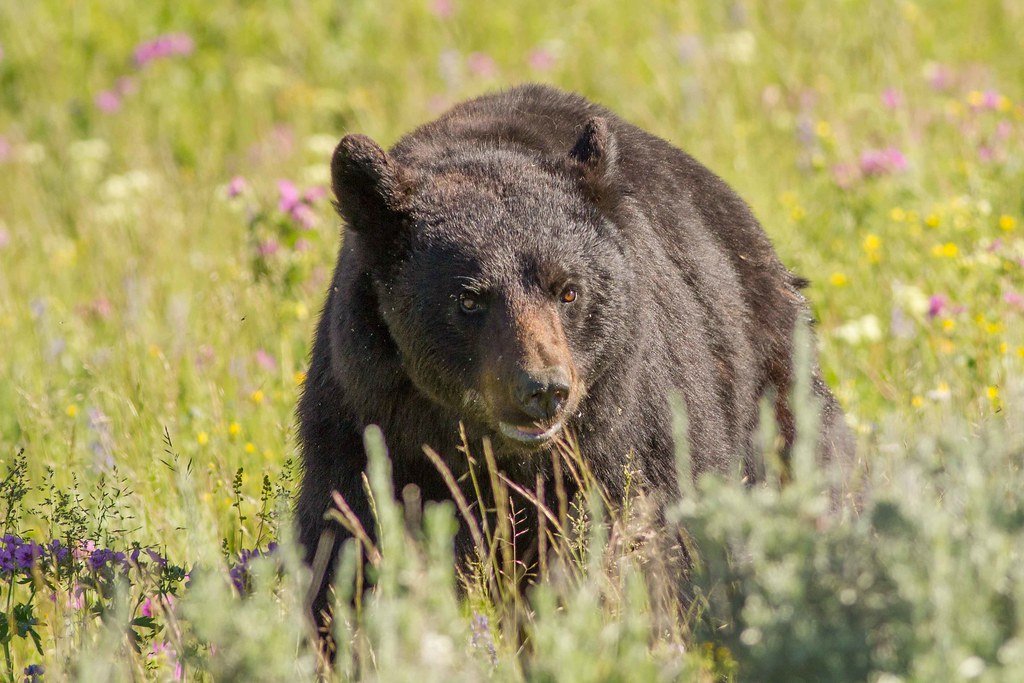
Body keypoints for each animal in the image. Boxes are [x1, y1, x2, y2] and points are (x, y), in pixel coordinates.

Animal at [296, 83, 852, 630]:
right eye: (469, 299)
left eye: (568, 290)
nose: (543, 390)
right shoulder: (365, 419)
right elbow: (348, 543)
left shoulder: (630, 431)